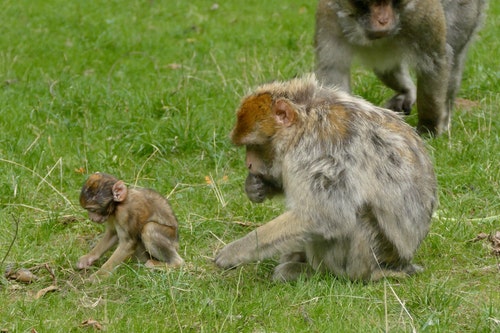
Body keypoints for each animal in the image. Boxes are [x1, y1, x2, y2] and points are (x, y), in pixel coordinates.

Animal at [215, 76, 438, 282]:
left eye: (255, 145)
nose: (249, 164)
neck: (305, 119)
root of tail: (400, 263)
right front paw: (256, 187)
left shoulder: (320, 152)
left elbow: (326, 215)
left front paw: (236, 250)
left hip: (369, 256)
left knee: (352, 217)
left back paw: (316, 272)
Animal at [314, 0, 486, 136]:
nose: (383, 20)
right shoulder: (330, 17)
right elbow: (334, 72)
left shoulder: (423, 16)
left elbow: (435, 62)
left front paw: (428, 128)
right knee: (385, 67)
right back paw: (407, 91)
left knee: (453, 59)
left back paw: (444, 119)